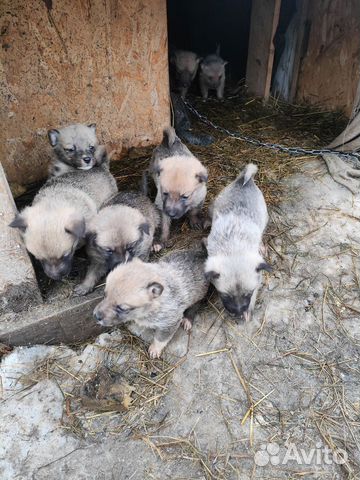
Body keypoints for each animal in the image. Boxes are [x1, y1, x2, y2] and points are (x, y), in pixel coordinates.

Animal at [205, 164, 270, 322]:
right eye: (226, 296)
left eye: (248, 294)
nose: (238, 312)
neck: (234, 248)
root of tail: (244, 180)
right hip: (215, 203)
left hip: (264, 217)